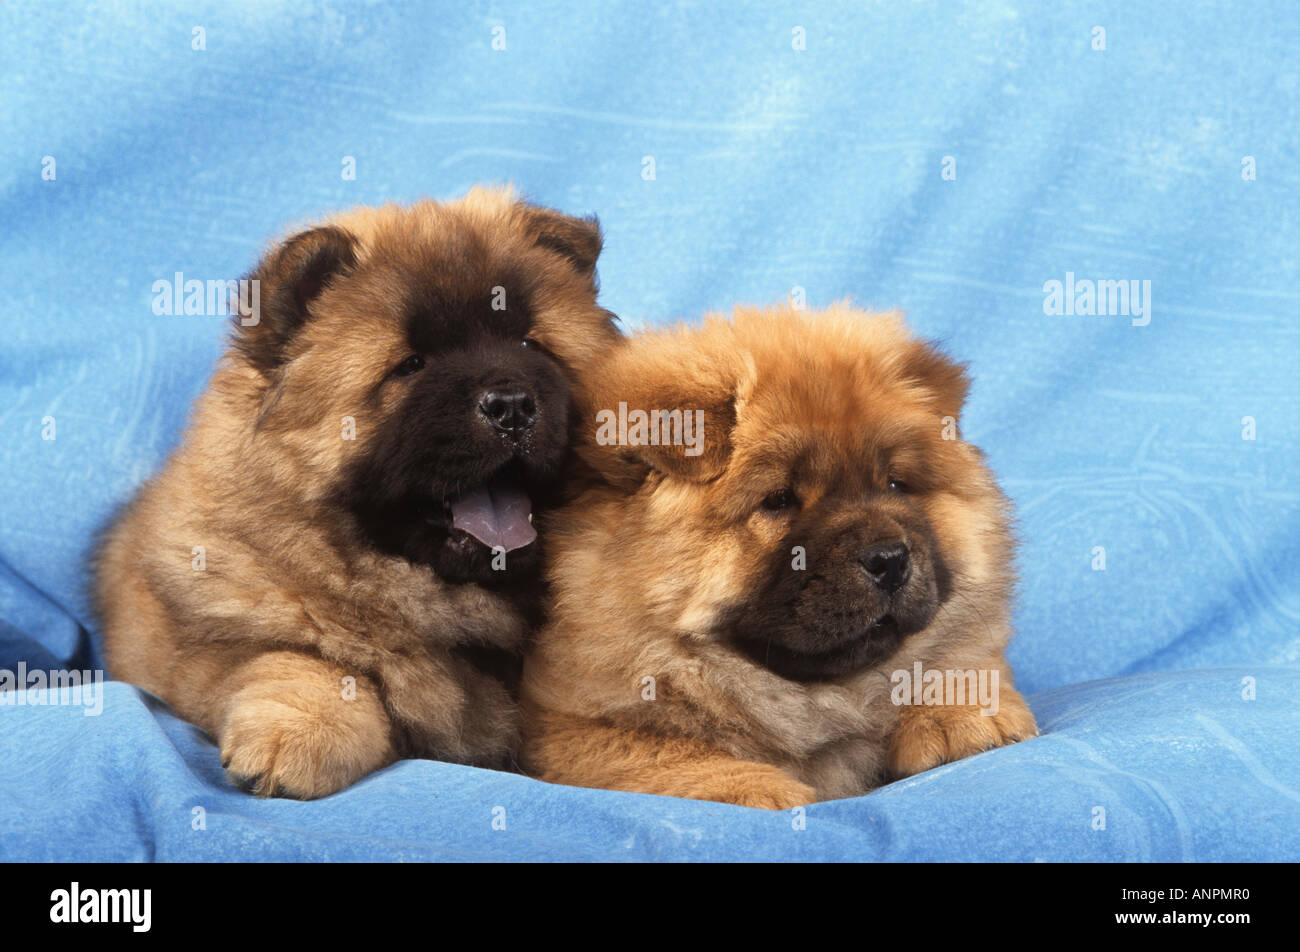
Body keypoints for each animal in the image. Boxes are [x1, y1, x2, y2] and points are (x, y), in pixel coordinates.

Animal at [96, 184, 618, 795]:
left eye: (531, 346)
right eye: (410, 365)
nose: (512, 405)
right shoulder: (196, 645)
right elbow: (308, 661)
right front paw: (294, 741)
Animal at [517, 304, 1034, 811]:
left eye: (895, 484)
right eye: (779, 500)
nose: (889, 559)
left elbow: (959, 659)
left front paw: (962, 717)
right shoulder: (565, 725)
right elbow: (654, 749)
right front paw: (755, 787)